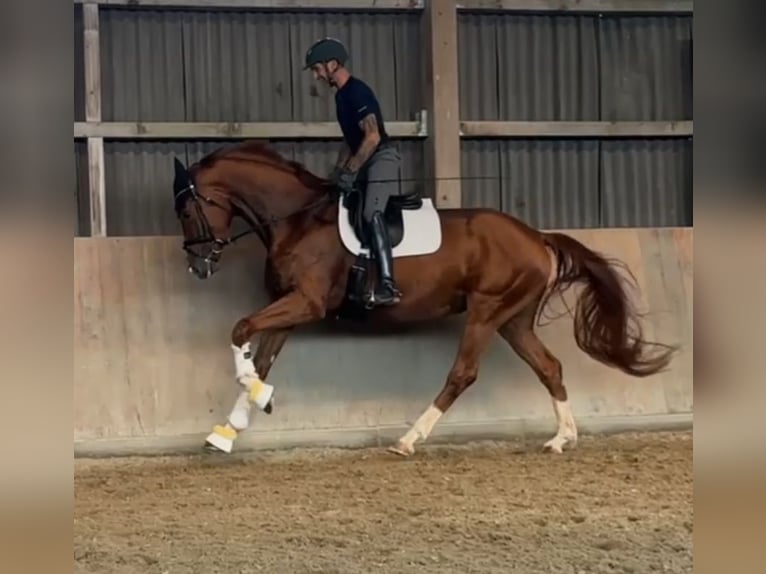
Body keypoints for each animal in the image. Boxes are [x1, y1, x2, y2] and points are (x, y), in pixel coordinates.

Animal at [172, 141, 680, 460]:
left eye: (186, 209)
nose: (198, 265)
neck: (296, 219)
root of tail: (536, 236)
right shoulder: (288, 307)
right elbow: (261, 358)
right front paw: (228, 429)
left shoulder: (307, 302)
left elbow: (240, 330)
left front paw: (253, 399)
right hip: (512, 319)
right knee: (549, 367)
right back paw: (562, 439)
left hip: (486, 311)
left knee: (464, 373)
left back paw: (408, 440)